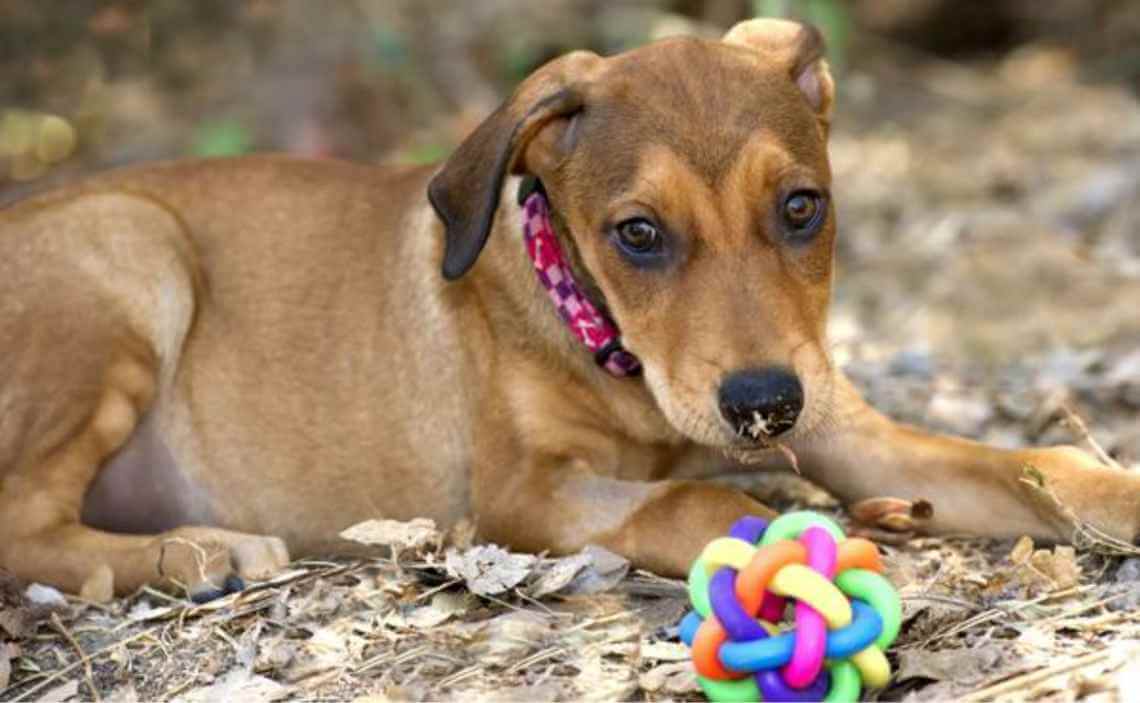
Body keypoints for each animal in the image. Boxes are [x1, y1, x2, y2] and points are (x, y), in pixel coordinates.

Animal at [2, 19, 1140, 601]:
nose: (765, 407)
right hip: (129, 249)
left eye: (802, 207)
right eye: (638, 234)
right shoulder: (523, 493)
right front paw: (776, 530)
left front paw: (1116, 490)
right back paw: (197, 552)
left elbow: (1038, 465)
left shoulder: (854, 433)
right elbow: (687, 501)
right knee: (20, 524)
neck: (616, 358)